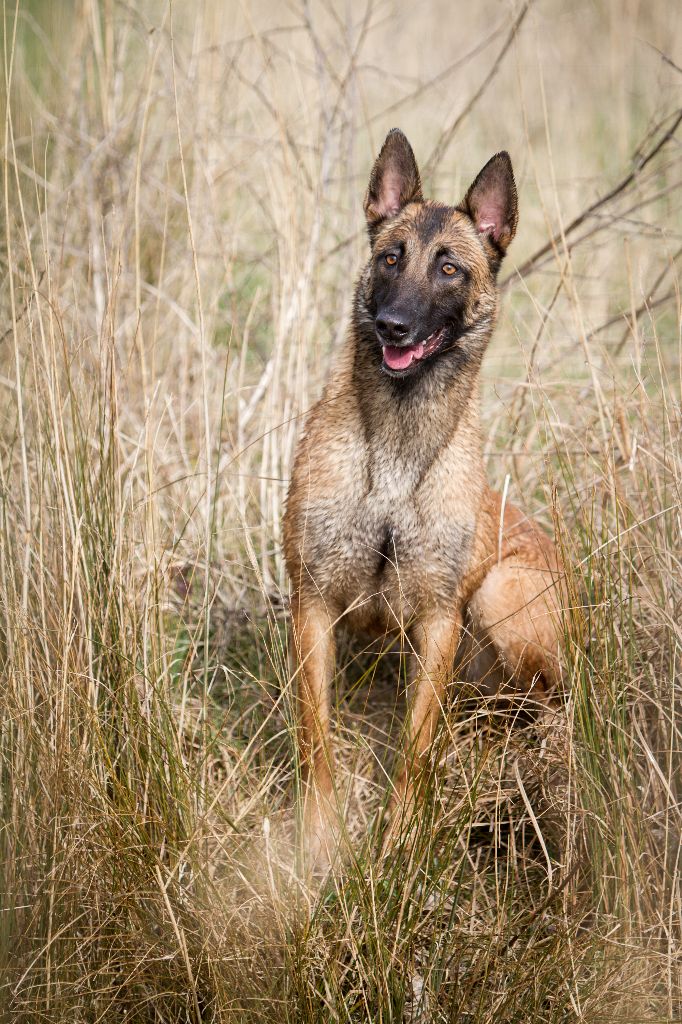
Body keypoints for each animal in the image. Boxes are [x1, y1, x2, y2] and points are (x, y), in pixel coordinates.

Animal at [280, 123, 561, 868]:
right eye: (390, 258)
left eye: (450, 269)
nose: (393, 326)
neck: (398, 450)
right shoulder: (312, 605)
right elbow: (315, 735)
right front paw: (319, 838)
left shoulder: (437, 620)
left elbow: (415, 746)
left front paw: (400, 838)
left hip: (501, 596)